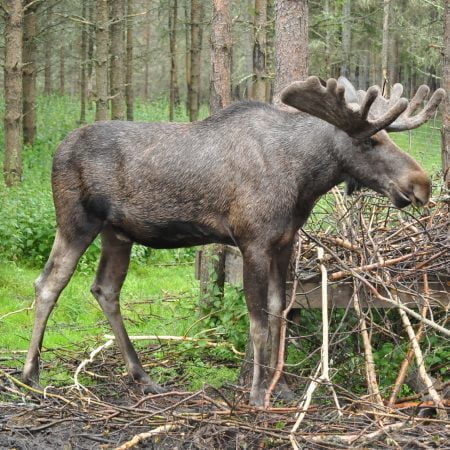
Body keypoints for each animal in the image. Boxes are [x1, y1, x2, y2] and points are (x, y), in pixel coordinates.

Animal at [23, 75, 442, 406]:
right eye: (369, 142)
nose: (421, 184)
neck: (304, 181)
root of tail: (57, 150)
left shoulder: (284, 242)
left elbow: (279, 310)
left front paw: (282, 386)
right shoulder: (252, 240)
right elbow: (257, 321)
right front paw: (257, 393)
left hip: (118, 233)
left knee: (105, 289)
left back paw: (142, 376)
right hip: (77, 221)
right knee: (49, 283)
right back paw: (31, 375)